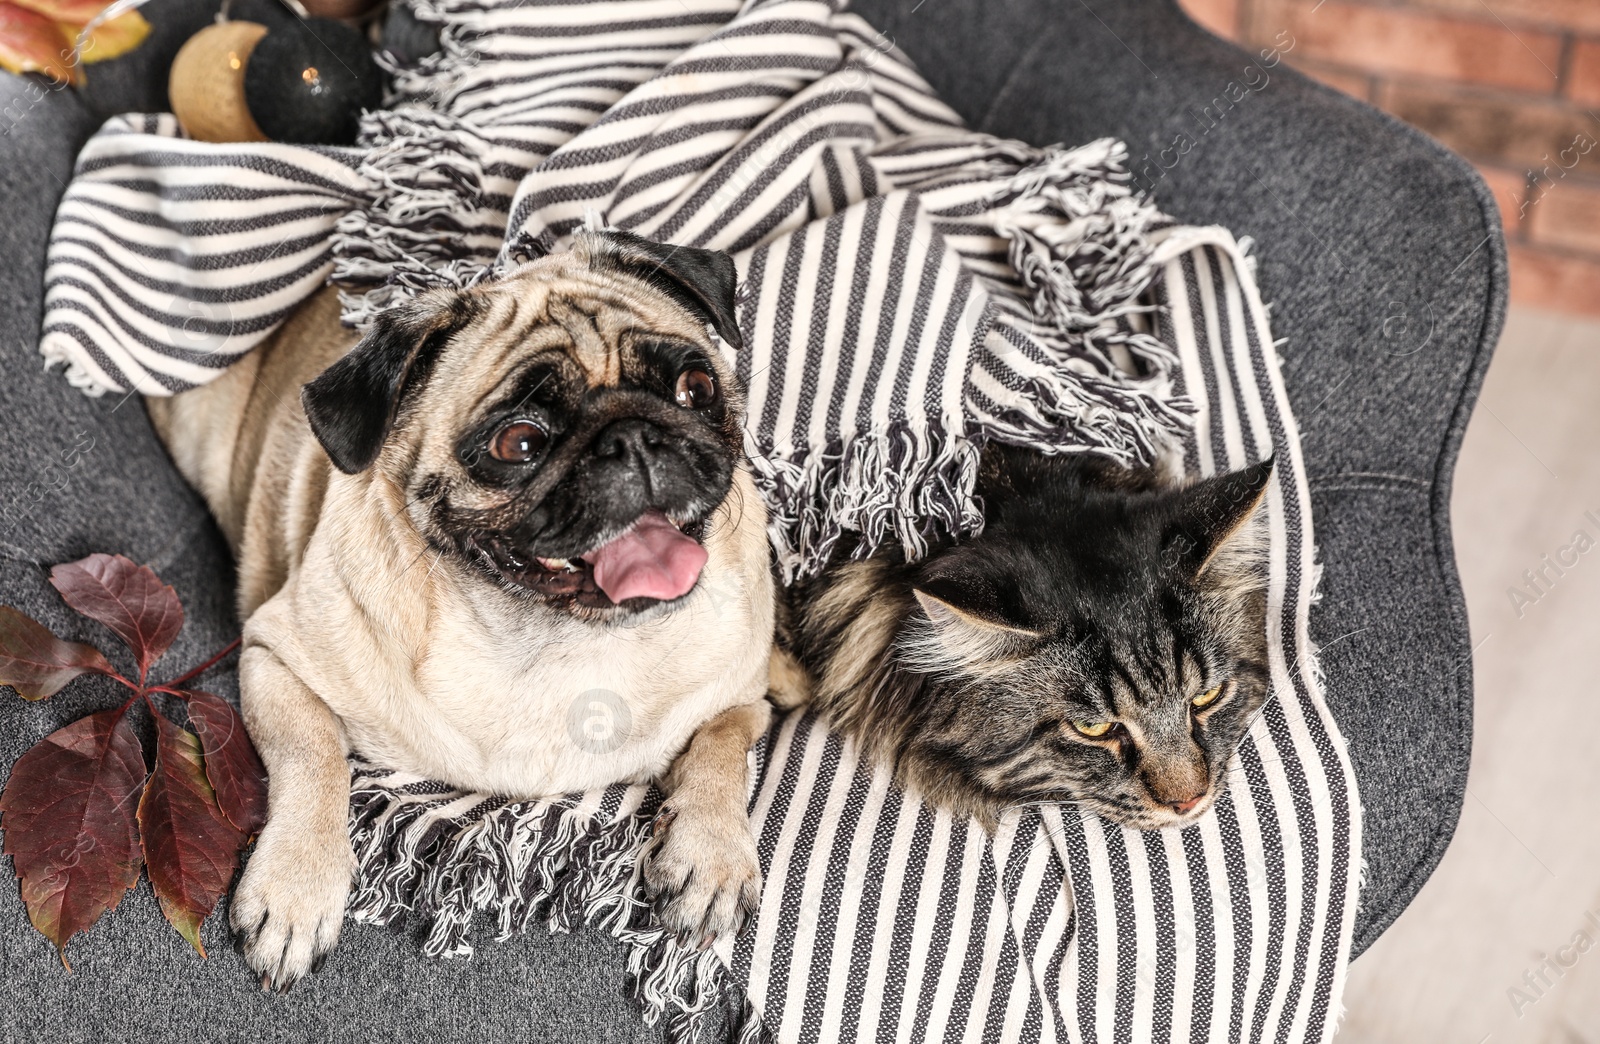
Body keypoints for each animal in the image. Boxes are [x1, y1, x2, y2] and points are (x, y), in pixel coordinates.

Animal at [147, 228, 777, 986]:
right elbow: (314, 754)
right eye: (520, 443)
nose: (631, 436)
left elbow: (723, 745)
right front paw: (297, 887)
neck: (563, 640)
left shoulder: (746, 693)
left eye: (695, 388)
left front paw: (711, 856)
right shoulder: (274, 655)